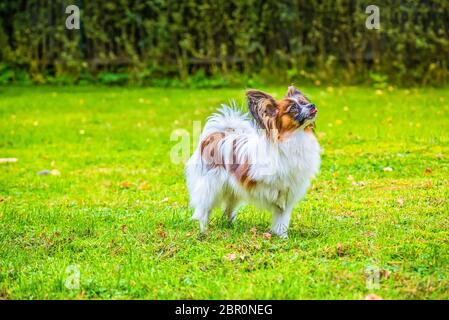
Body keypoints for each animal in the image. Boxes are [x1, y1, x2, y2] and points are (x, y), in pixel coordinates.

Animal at [184, 86, 320, 239]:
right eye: (293, 108)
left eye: (304, 102)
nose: (312, 105)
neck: (294, 137)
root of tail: (215, 136)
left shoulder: (289, 193)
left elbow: (282, 218)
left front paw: (282, 237)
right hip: (211, 187)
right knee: (203, 211)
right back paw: (204, 231)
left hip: (232, 192)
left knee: (228, 210)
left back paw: (230, 226)